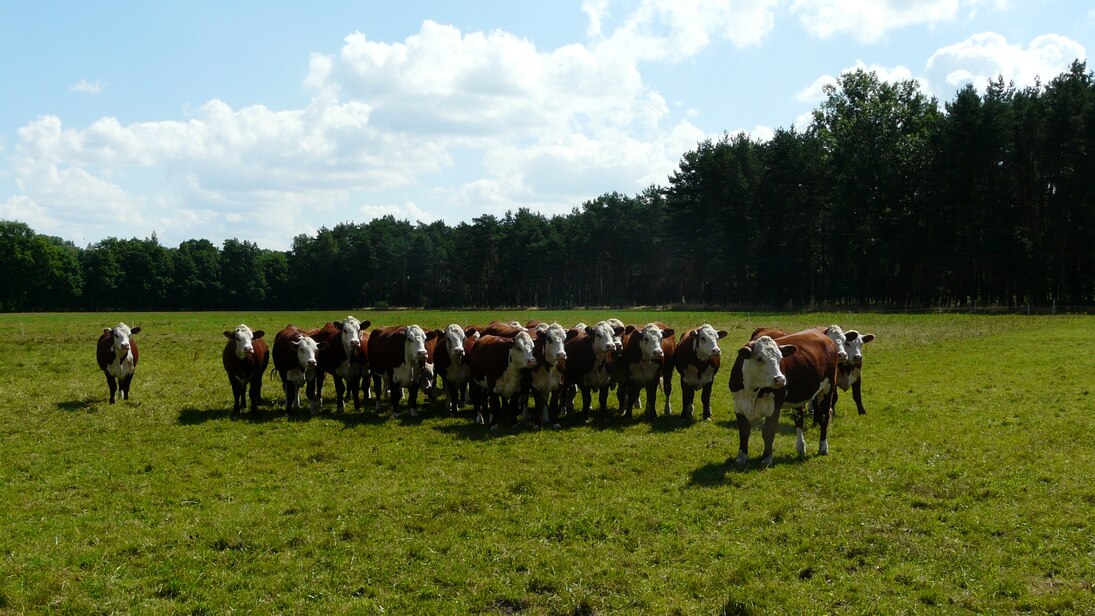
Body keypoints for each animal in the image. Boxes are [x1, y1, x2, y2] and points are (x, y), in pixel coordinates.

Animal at [731, 330, 840, 466]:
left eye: (780, 358)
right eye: (759, 358)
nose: (780, 379)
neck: (752, 391)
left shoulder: (774, 406)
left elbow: (768, 431)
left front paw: (767, 457)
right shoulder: (738, 405)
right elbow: (744, 431)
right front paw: (742, 456)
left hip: (827, 389)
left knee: (824, 417)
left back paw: (823, 447)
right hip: (799, 397)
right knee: (799, 420)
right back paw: (801, 447)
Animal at [748, 326, 876, 417]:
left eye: (860, 344)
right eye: (848, 344)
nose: (857, 357)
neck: (846, 367)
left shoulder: (857, 377)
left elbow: (857, 396)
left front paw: (862, 413)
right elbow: (834, 398)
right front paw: (832, 413)